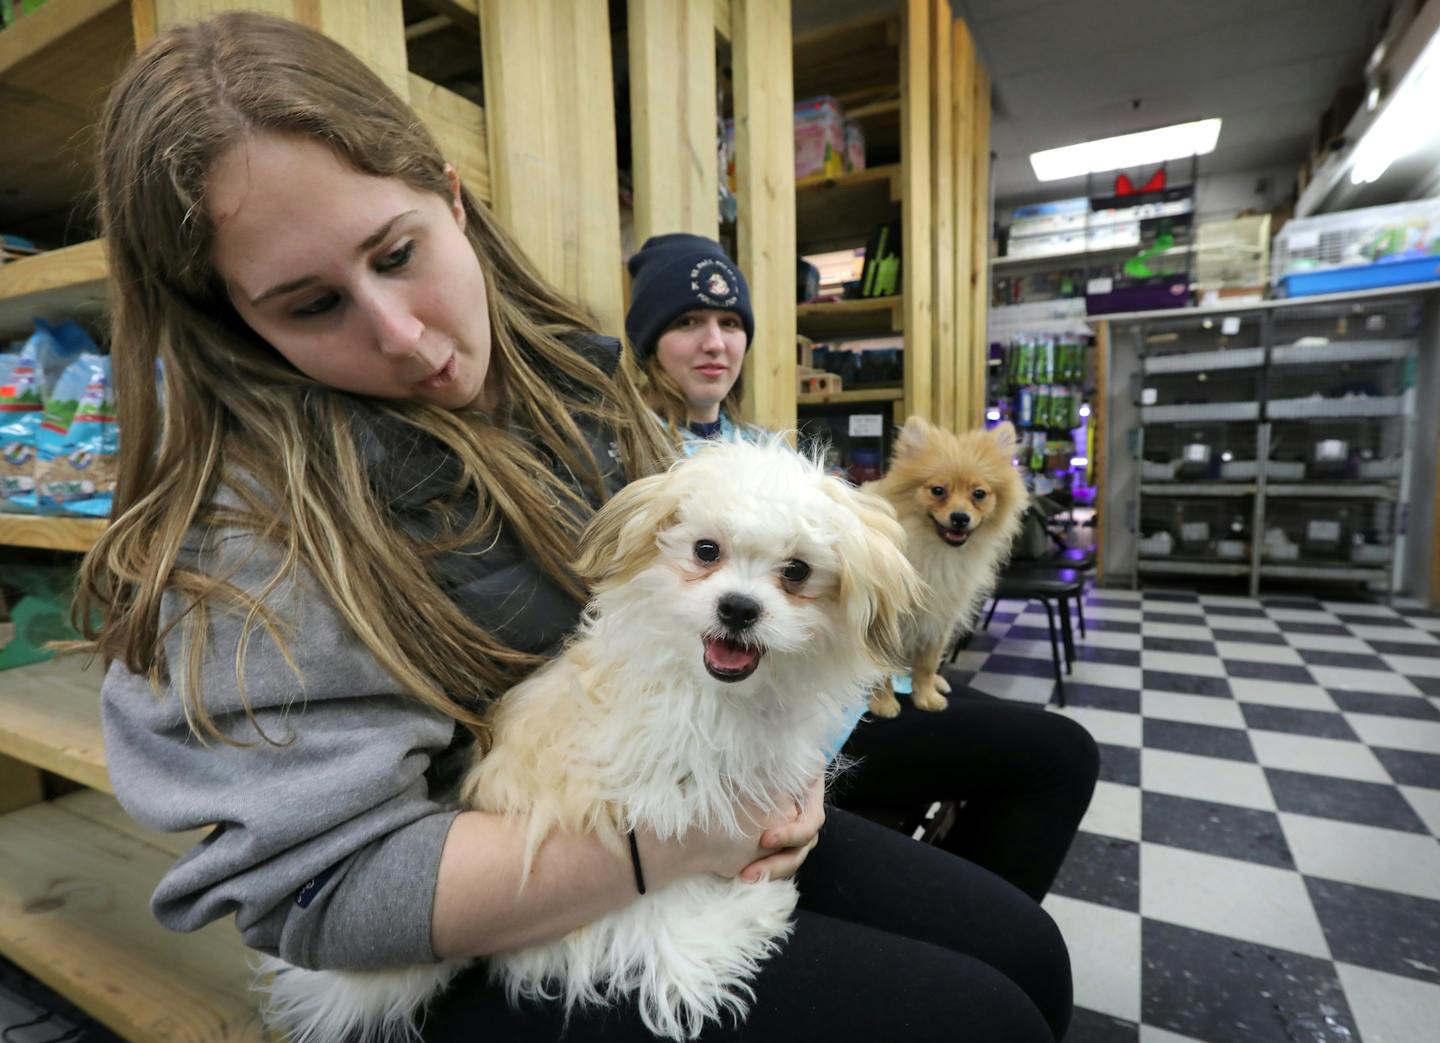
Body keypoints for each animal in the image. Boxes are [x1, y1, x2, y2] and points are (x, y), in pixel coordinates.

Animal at [259, 440, 921, 1043]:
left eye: (797, 571)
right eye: (706, 550)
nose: (738, 607)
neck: (714, 691)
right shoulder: (665, 805)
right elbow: (664, 897)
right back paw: (745, 917)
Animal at [864, 414, 1025, 717]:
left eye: (979, 494)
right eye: (938, 491)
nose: (960, 517)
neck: (935, 553)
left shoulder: (940, 618)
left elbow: (927, 663)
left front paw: (926, 696)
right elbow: (881, 670)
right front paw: (883, 702)